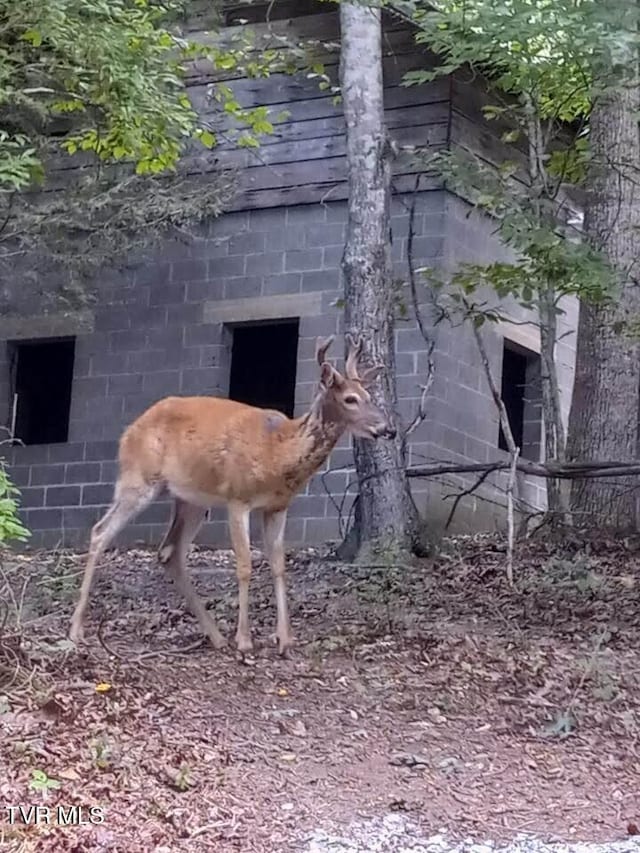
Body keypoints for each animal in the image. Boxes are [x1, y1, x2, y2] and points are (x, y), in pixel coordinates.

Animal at [66, 332, 396, 652]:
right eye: (350, 399)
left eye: (370, 396)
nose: (388, 428)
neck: (277, 453)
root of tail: (129, 431)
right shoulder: (238, 498)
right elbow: (245, 565)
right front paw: (245, 641)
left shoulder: (278, 507)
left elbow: (278, 566)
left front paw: (284, 640)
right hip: (139, 478)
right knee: (100, 531)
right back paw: (75, 629)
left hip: (191, 499)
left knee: (169, 552)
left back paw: (216, 637)